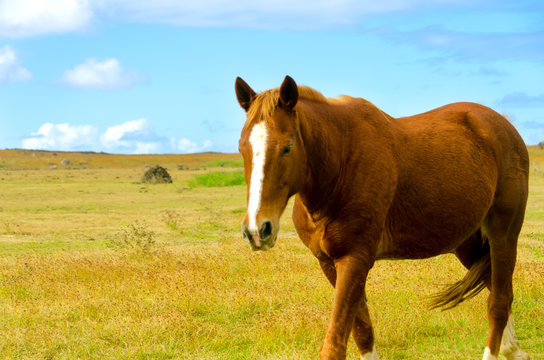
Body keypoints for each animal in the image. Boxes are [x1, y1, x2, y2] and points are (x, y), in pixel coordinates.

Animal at [236, 76, 528, 360]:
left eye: (287, 147)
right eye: (241, 148)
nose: (257, 230)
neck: (341, 163)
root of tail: (502, 125)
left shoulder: (354, 259)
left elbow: (335, 345)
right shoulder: (329, 264)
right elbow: (362, 332)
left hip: (503, 235)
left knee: (499, 302)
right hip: (466, 242)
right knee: (496, 288)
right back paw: (511, 349)